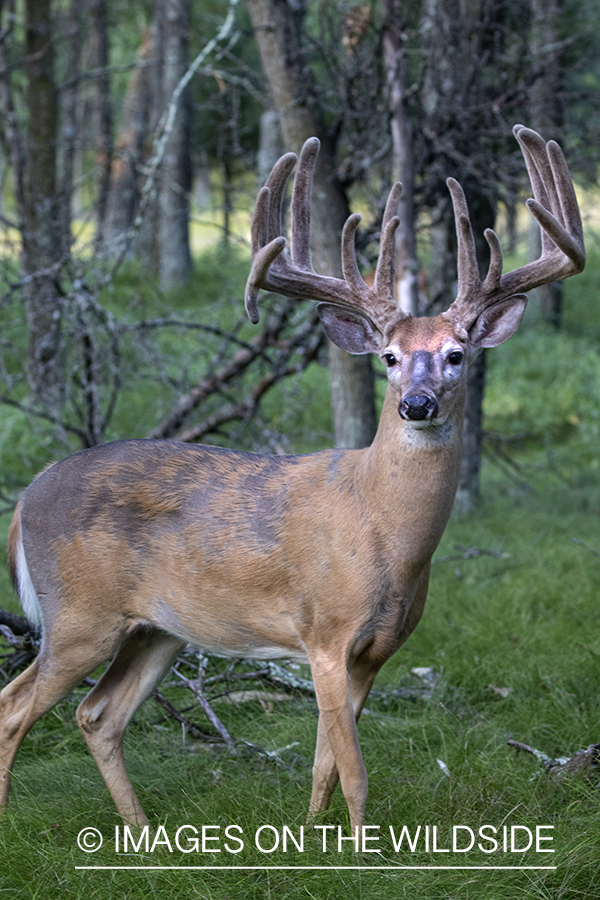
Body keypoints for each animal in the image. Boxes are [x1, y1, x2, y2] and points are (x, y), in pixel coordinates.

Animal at [0, 125, 584, 828]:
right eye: (389, 357)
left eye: (456, 355)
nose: (417, 405)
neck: (385, 531)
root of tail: (26, 497)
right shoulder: (324, 632)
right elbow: (354, 771)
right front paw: (360, 847)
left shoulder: (375, 652)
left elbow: (325, 763)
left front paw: (309, 833)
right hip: (77, 615)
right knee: (14, 707)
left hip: (158, 630)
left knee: (97, 714)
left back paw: (140, 832)